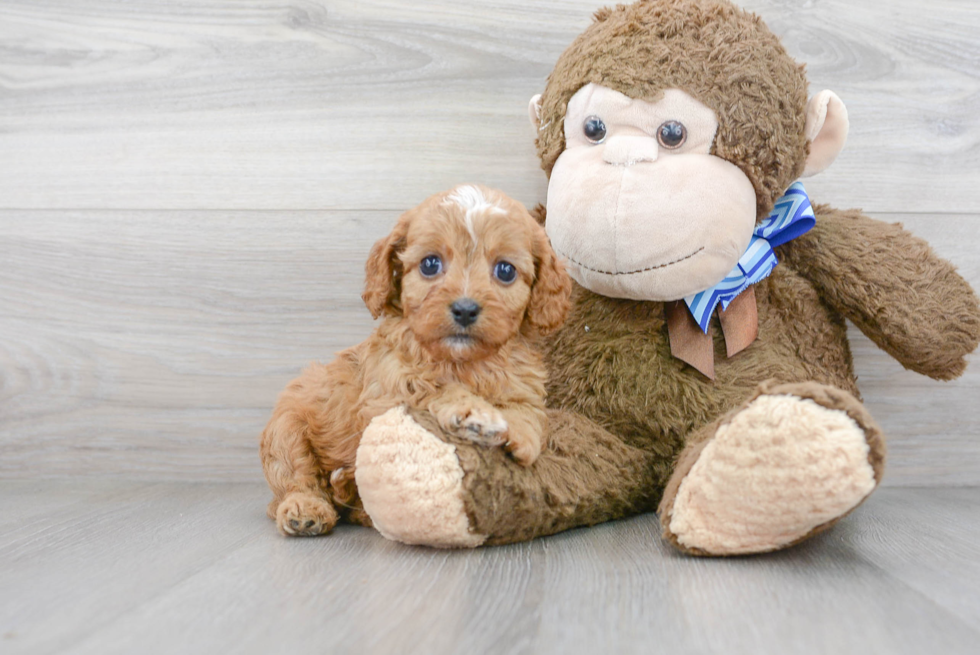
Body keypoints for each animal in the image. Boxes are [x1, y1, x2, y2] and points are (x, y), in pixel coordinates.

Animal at [258, 184, 576, 540]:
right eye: (430, 264)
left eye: (505, 270)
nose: (465, 309)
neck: (464, 362)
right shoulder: (386, 393)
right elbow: (431, 389)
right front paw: (472, 411)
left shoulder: (523, 384)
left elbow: (528, 413)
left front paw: (520, 435)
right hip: (286, 430)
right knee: (296, 478)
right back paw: (305, 509)